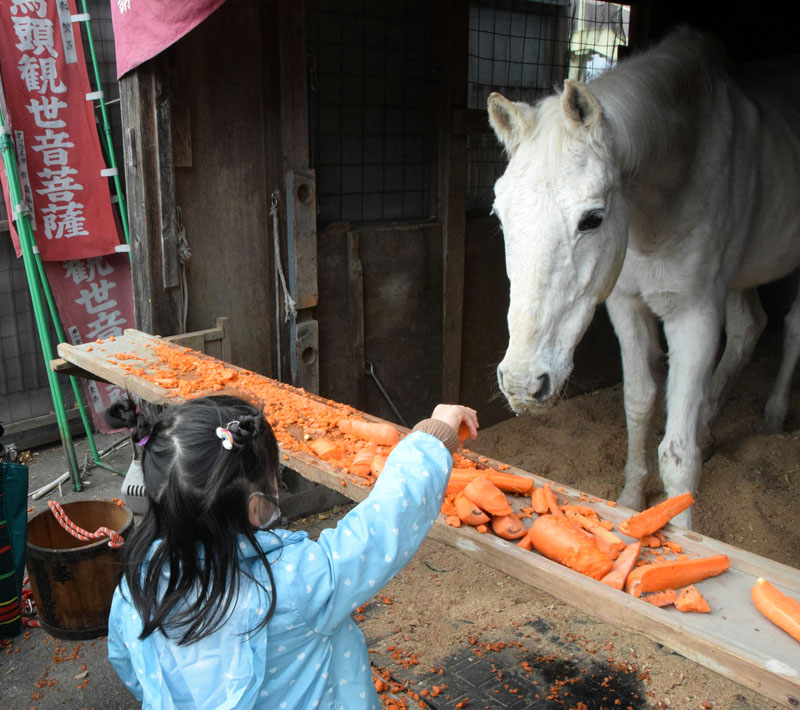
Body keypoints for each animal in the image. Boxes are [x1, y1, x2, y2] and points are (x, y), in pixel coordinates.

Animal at [488, 27, 800, 528]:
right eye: (500, 216)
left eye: (592, 219)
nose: (521, 385)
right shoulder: (626, 304)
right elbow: (639, 404)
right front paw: (632, 500)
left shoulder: (694, 316)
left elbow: (678, 453)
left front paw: (681, 537)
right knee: (750, 328)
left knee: (790, 330)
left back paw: (772, 418)